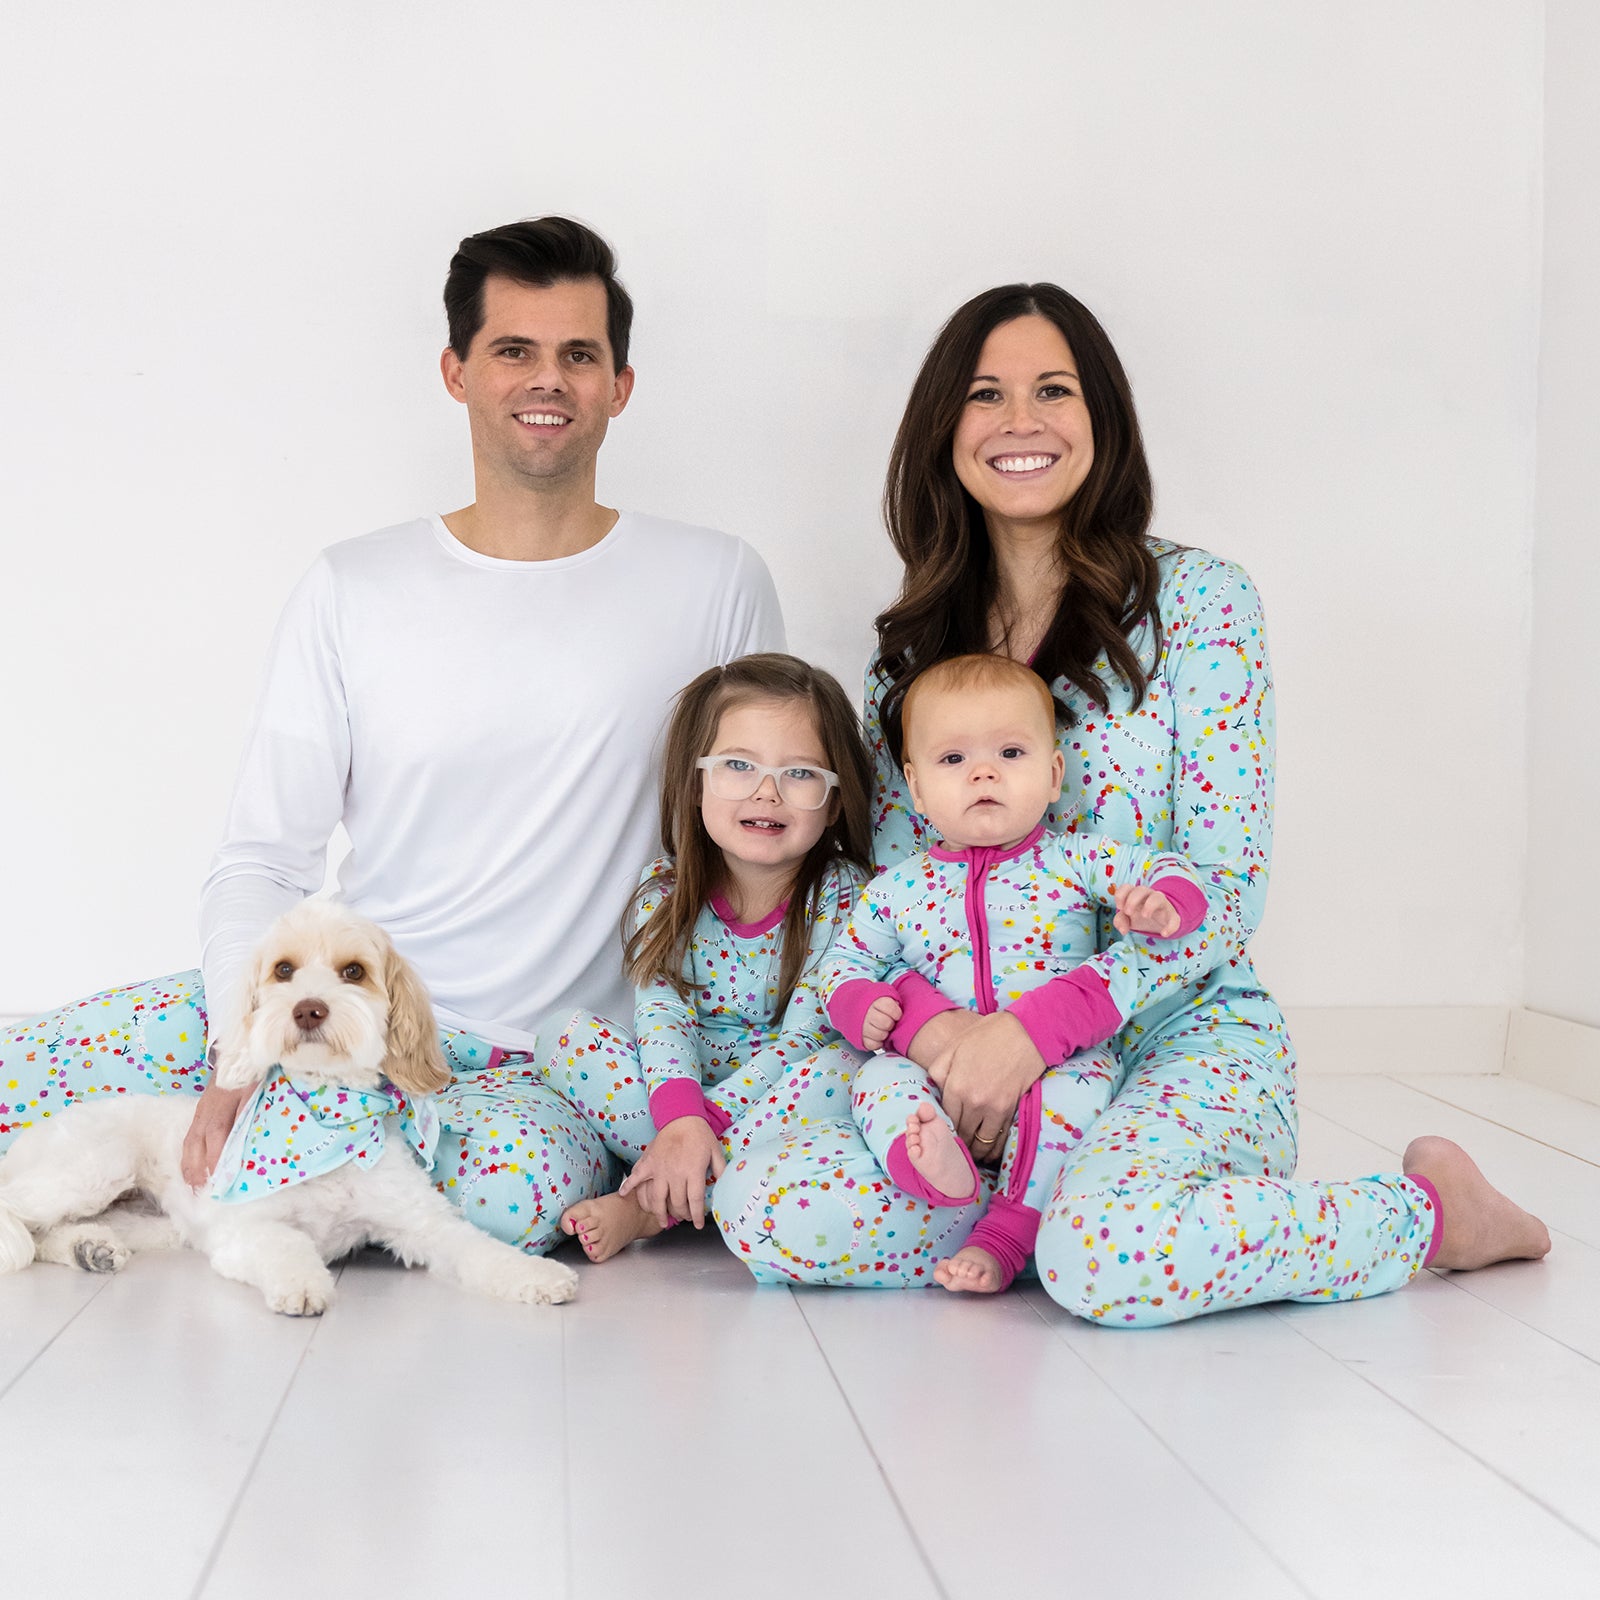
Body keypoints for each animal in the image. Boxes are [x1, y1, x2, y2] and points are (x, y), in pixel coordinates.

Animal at [0, 902, 582, 1312]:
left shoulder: (423, 1223)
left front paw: (538, 1276)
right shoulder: (245, 1228)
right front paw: (303, 1287)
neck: (329, 1120)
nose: (308, 1009)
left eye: (354, 971)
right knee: (19, 1211)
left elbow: (481, 1250)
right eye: (284, 970)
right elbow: (286, 1247)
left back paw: (89, 1248)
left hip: (148, 1221)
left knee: (53, 1232)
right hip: (98, 1163)